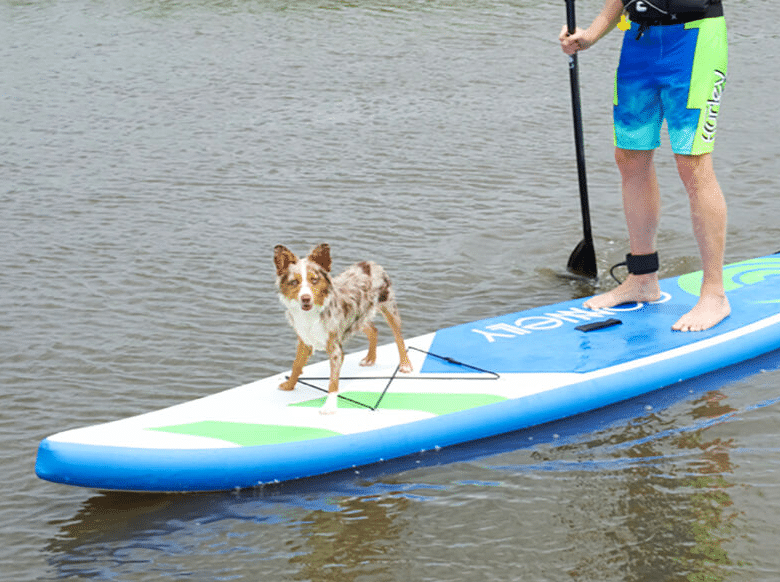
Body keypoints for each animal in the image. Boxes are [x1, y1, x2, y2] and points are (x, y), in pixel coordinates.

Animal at [272, 245, 412, 416]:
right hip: (358, 316)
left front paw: (330, 407)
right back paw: (370, 359)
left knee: (399, 337)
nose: (305, 298)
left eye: (314, 280)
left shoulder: (335, 349)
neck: (313, 313)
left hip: (388, 307)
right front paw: (289, 386)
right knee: (374, 330)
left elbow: (333, 381)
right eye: (294, 282)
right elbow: (296, 365)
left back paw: (405, 364)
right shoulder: (304, 340)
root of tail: (369, 263)